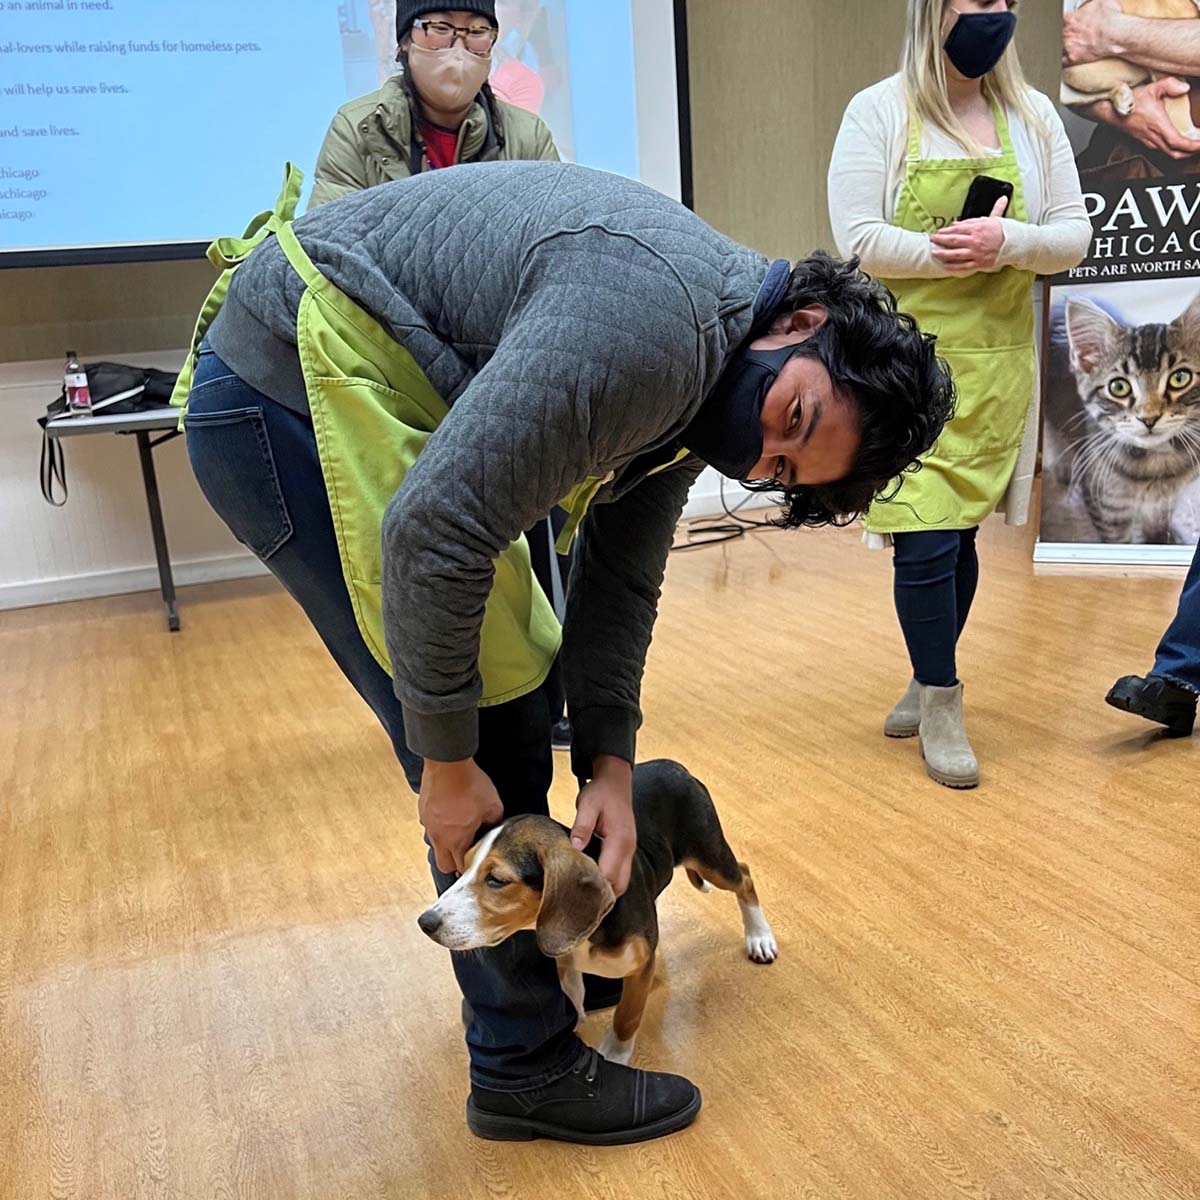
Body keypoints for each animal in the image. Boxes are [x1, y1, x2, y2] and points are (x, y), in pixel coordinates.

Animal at [422, 763, 777, 1065]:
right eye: (463, 868)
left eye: (497, 880)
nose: (425, 923)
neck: (592, 931)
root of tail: (675, 767)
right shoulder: (564, 959)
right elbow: (573, 992)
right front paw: (576, 1020)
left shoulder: (640, 968)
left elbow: (626, 1015)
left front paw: (614, 1054)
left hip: (709, 857)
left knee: (745, 876)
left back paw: (759, 937)